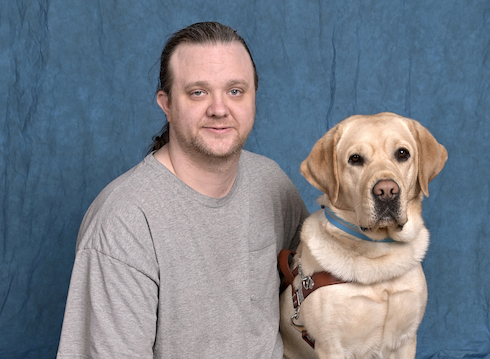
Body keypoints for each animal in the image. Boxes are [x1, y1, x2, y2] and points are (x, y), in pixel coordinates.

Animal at [280, 111, 448, 358]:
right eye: (355, 159)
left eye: (402, 153)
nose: (387, 191)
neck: (379, 255)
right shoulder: (331, 346)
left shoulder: (406, 339)